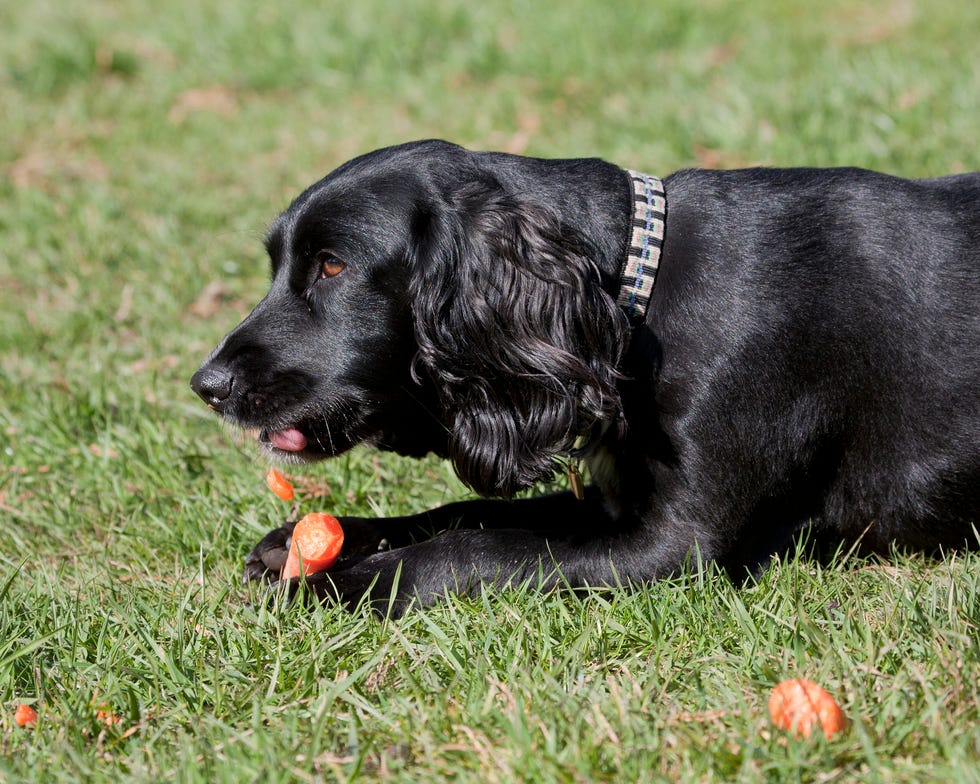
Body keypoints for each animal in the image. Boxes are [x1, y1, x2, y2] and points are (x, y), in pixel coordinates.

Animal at [191, 139, 980, 612]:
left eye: (332, 266)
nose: (207, 386)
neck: (636, 295)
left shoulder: (676, 547)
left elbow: (478, 547)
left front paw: (340, 582)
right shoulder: (610, 505)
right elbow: (467, 514)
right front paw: (327, 540)